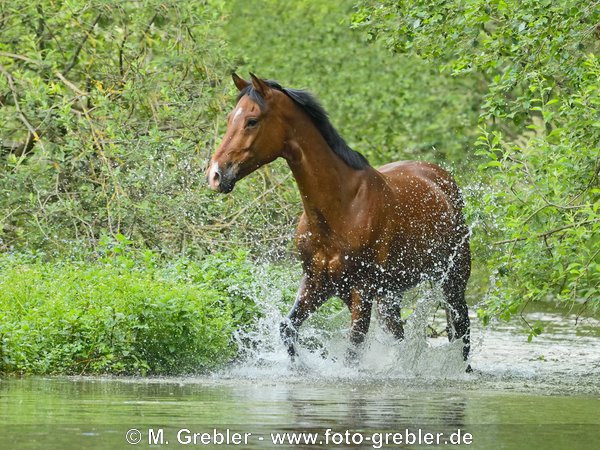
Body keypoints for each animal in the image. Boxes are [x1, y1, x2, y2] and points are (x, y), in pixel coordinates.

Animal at [209, 74, 472, 370]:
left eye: (252, 121)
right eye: (230, 118)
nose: (215, 175)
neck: (340, 210)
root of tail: (442, 179)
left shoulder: (361, 293)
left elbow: (353, 351)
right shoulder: (317, 283)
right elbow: (288, 328)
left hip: (452, 281)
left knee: (461, 331)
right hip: (390, 295)